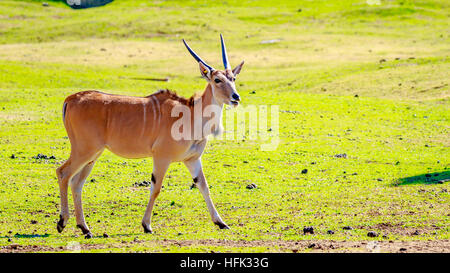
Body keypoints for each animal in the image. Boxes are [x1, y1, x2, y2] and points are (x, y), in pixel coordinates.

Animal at [57, 35, 246, 237]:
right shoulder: (162, 157)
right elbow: (156, 188)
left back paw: (85, 228)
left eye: (233, 78)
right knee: (63, 173)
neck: (190, 114)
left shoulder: (192, 159)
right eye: (217, 79)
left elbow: (204, 186)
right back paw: (62, 222)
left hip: (93, 155)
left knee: (76, 182)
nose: (236, 97)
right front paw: (146, 225)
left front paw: (221, 222)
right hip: (84, 150)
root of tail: (71, 99)